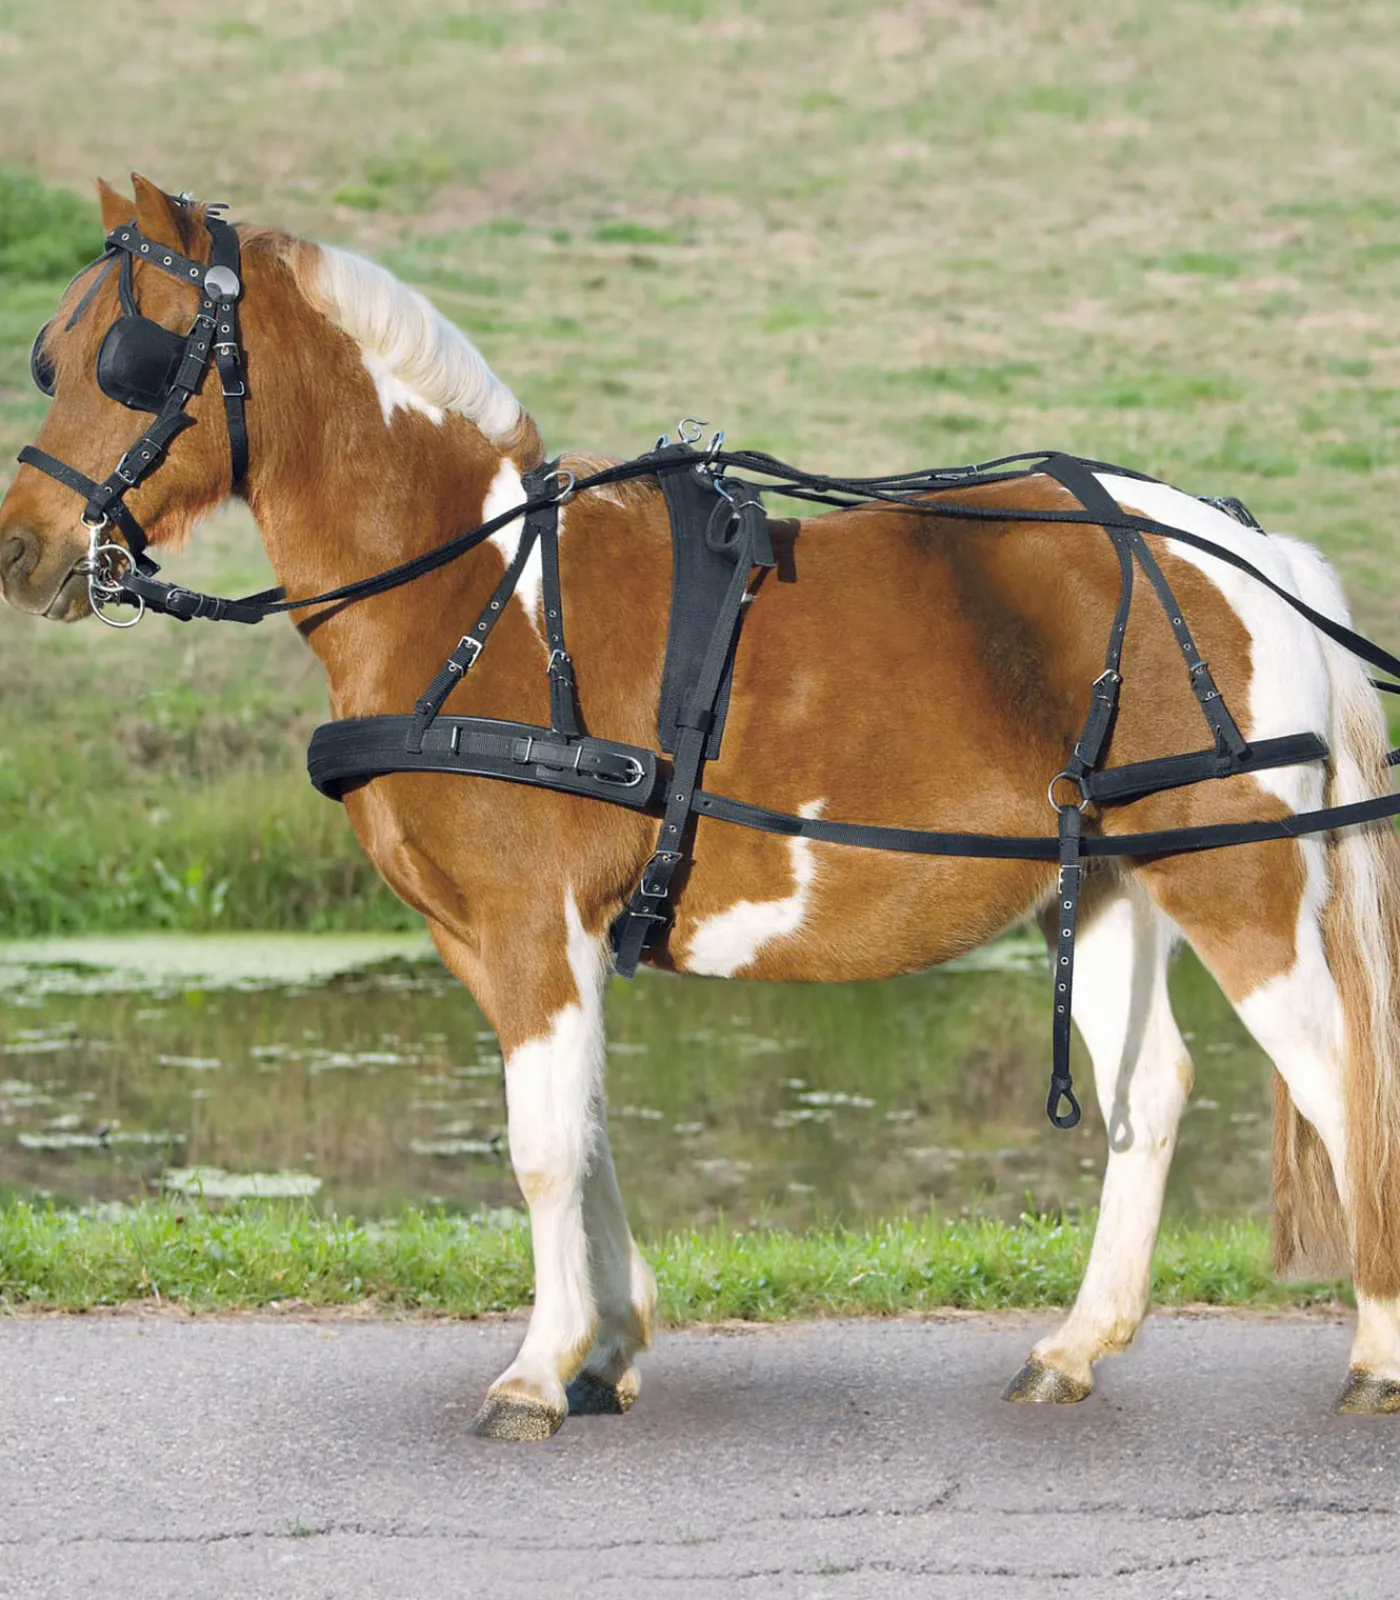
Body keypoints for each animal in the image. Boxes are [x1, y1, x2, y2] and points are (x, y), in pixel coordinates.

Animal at [4, 175, 1399, 1441]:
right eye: (49, 356)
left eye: (131, 359)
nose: (20, 548)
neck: (477, 587)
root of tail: (1249, 551)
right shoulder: (510, 941)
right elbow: (584, 1124)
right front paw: (606, 1348)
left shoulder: (529, 923)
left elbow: (540, 1145)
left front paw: (535, 1369)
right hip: (1115, 874)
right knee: (1147, 1089)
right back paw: (1072, 1347)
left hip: (1235, 883)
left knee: (1340, 1078)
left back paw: (1375, 1352)